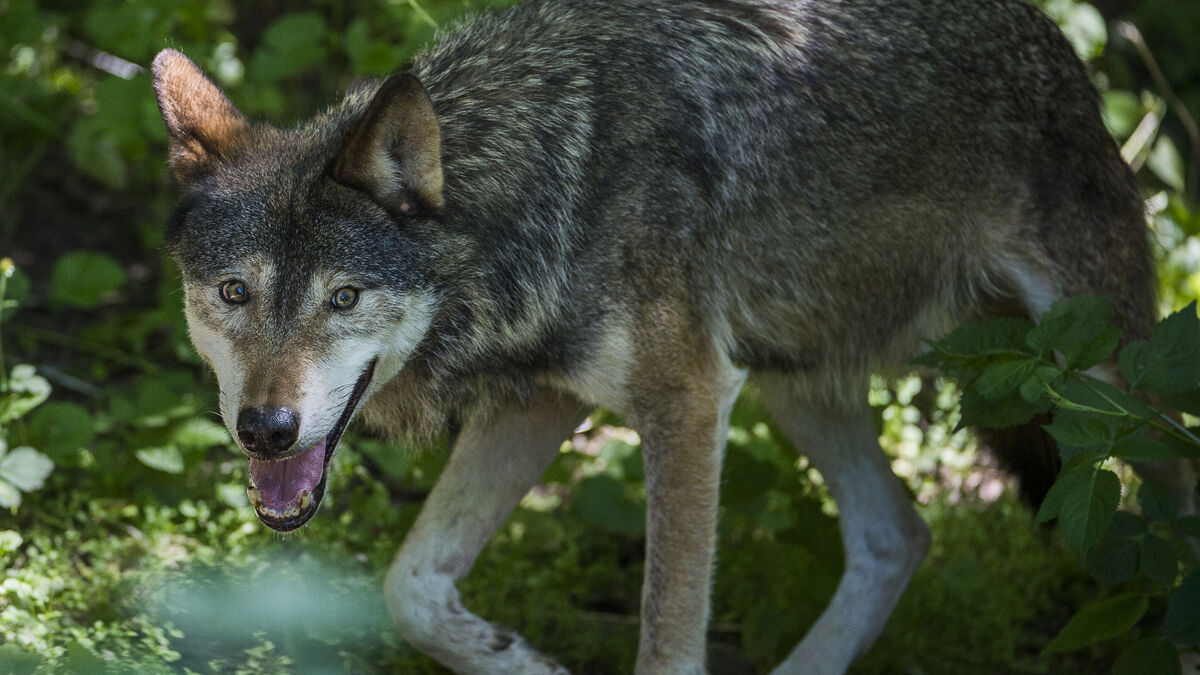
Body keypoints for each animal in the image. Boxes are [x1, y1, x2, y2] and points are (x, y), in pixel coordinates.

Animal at [151, 0, 1194, 672]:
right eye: (234, 292)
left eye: (344, 296)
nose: (267, 430)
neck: (546, 184)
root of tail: (1057, 40)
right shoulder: (543, 401)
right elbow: (412, 589)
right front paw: (524, 659)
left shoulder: (685, 400)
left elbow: (666, 641)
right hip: (787, 379)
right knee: (896, 533)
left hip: (1114, 373)